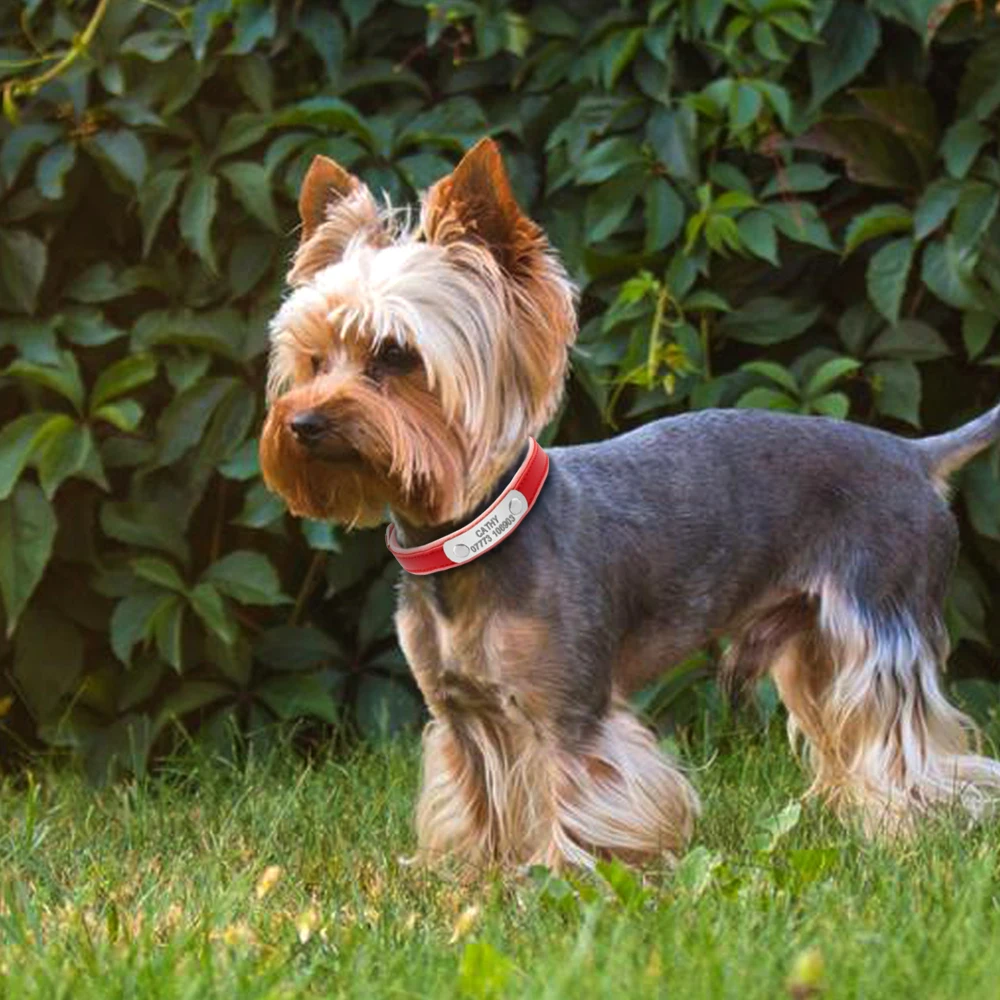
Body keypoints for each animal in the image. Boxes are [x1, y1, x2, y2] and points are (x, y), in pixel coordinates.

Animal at [260, 138, 1000, 869]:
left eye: (395, 354)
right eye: (314, 360)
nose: (302, 423)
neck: (474, 537)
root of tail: (914, 454)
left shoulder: (568, 708)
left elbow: (577, 796)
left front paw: (562, 878)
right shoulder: (461, 716)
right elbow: (478, 801)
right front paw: (471, 879)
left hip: (878, 621)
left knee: (910, 741)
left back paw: (910, 831)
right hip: (811, 641)